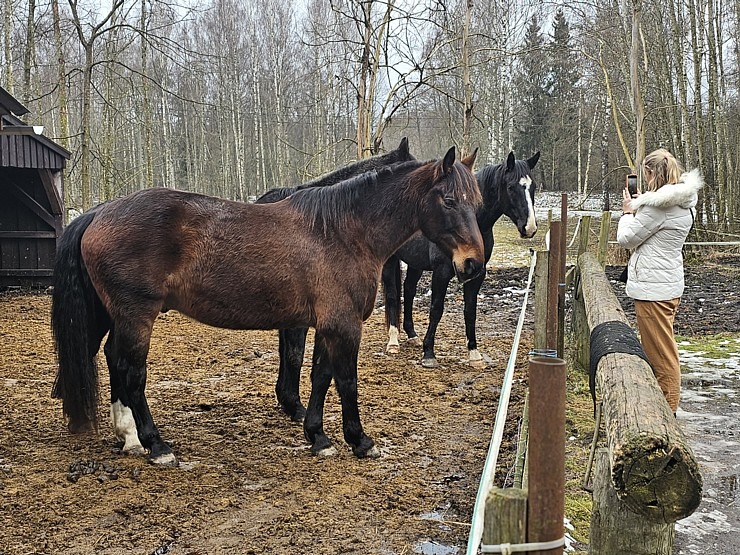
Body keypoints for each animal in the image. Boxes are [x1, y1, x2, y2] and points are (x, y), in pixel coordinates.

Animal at [50, 148, 486, 464]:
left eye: (477, 201)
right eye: (449, 200)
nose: (473, 264)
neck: (342, 232)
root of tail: (99, 212)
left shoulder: (326, 324)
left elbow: (320, 377)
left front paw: (318, 436)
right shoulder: (344, 324)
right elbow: (346, 381)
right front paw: (359, 440)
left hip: (113, 315)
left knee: (110, 358)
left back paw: (128, 437)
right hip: (137, 315)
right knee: (131, 371)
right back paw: (156, 445)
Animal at [384, 152, 540, 370]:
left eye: (533, 187)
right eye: (511, 187)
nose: (530, 228)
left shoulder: (477, 273)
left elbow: (470, 310)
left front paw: (474, 354)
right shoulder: (441, 272)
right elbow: (436, 309)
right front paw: (429, 353)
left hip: (415, 263)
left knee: (409, 291)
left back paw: (412, 335)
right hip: (390, 261)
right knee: (392, 294)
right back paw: (393, 341)